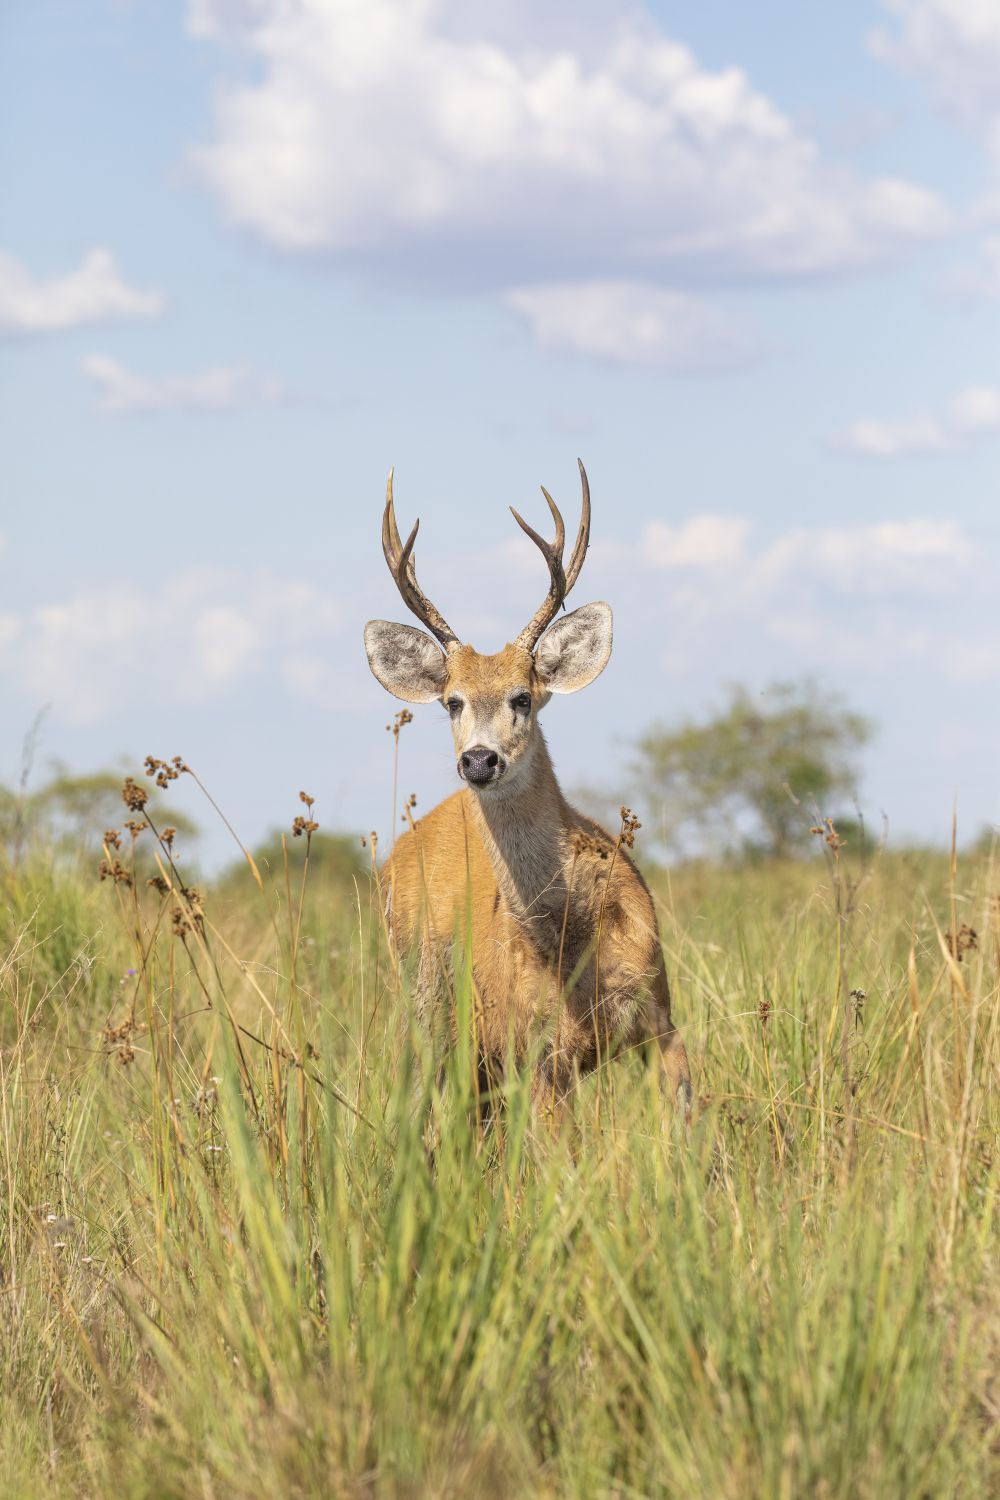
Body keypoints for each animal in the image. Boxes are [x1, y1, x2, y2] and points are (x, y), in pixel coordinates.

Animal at [364, 460, 691, 1128]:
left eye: (523, 697)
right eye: (452, 701)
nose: (479, 759)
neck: (571, 941)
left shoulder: (661, 1015)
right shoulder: (535, 1052)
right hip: (423, 1007)